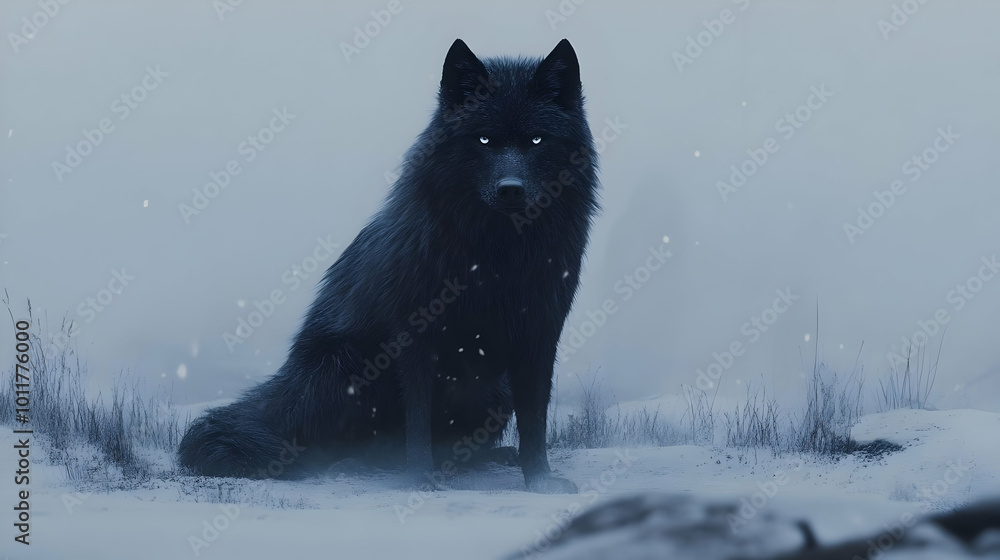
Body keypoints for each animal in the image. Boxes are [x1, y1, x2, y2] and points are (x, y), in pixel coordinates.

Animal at [178, 38, 599, 493]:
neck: (497, 256)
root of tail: (281, 393)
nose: (511, 190)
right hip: (344, 366)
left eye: (537, 140)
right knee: (316, 448)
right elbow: (417, 421)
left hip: (494, 390)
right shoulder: (415, 337)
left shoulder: (540, 333)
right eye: (484, 139)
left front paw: (540, 480)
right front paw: (420, 479)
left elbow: (535, 420)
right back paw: (353, 466)